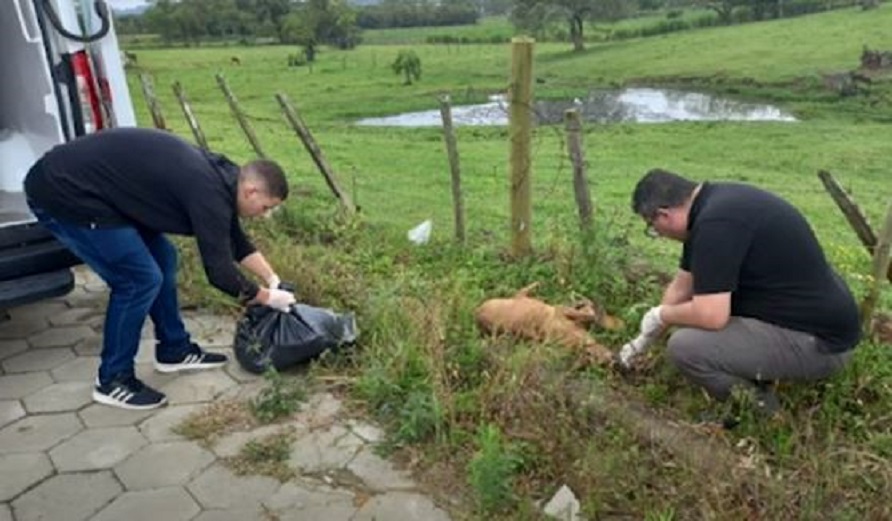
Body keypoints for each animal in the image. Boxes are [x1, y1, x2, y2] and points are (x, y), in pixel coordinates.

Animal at [474, 282, 620, 364]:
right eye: (598, 358)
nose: (614, 358)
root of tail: (478, 312)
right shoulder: (560, 311)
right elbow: (588, 314)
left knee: (521, 292)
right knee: (523, 291)